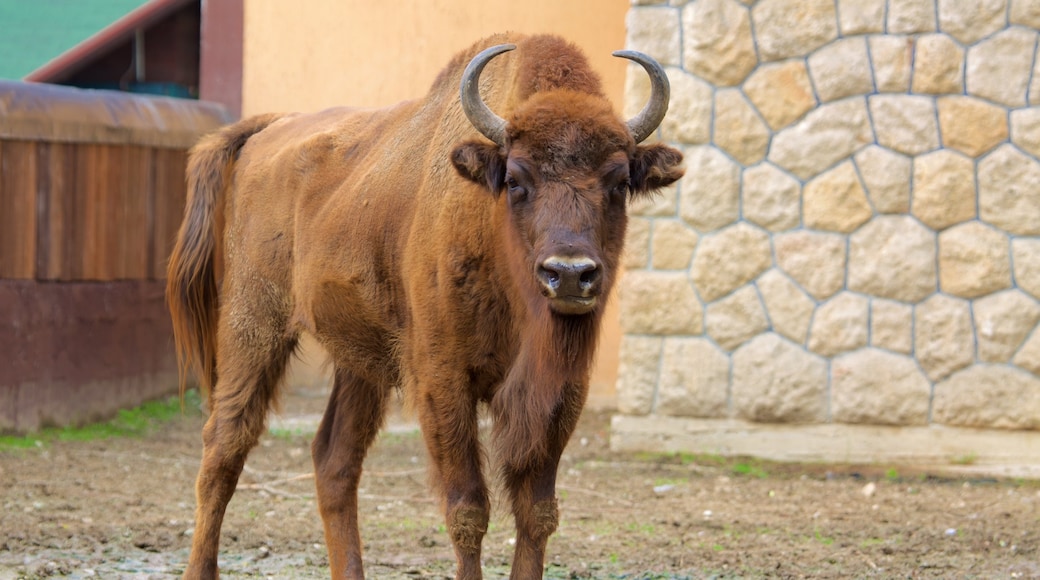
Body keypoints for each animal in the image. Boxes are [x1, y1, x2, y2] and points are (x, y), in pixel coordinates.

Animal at [168, 33, 682, 580]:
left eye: (619, 183)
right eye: (516, 180)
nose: (568, 273)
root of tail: (271, 129)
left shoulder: (561, 392)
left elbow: (537, 511)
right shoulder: (443, 381)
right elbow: (468, 509)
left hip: (360, 362)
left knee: (334, 459)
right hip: (253, 325)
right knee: (225, 447)